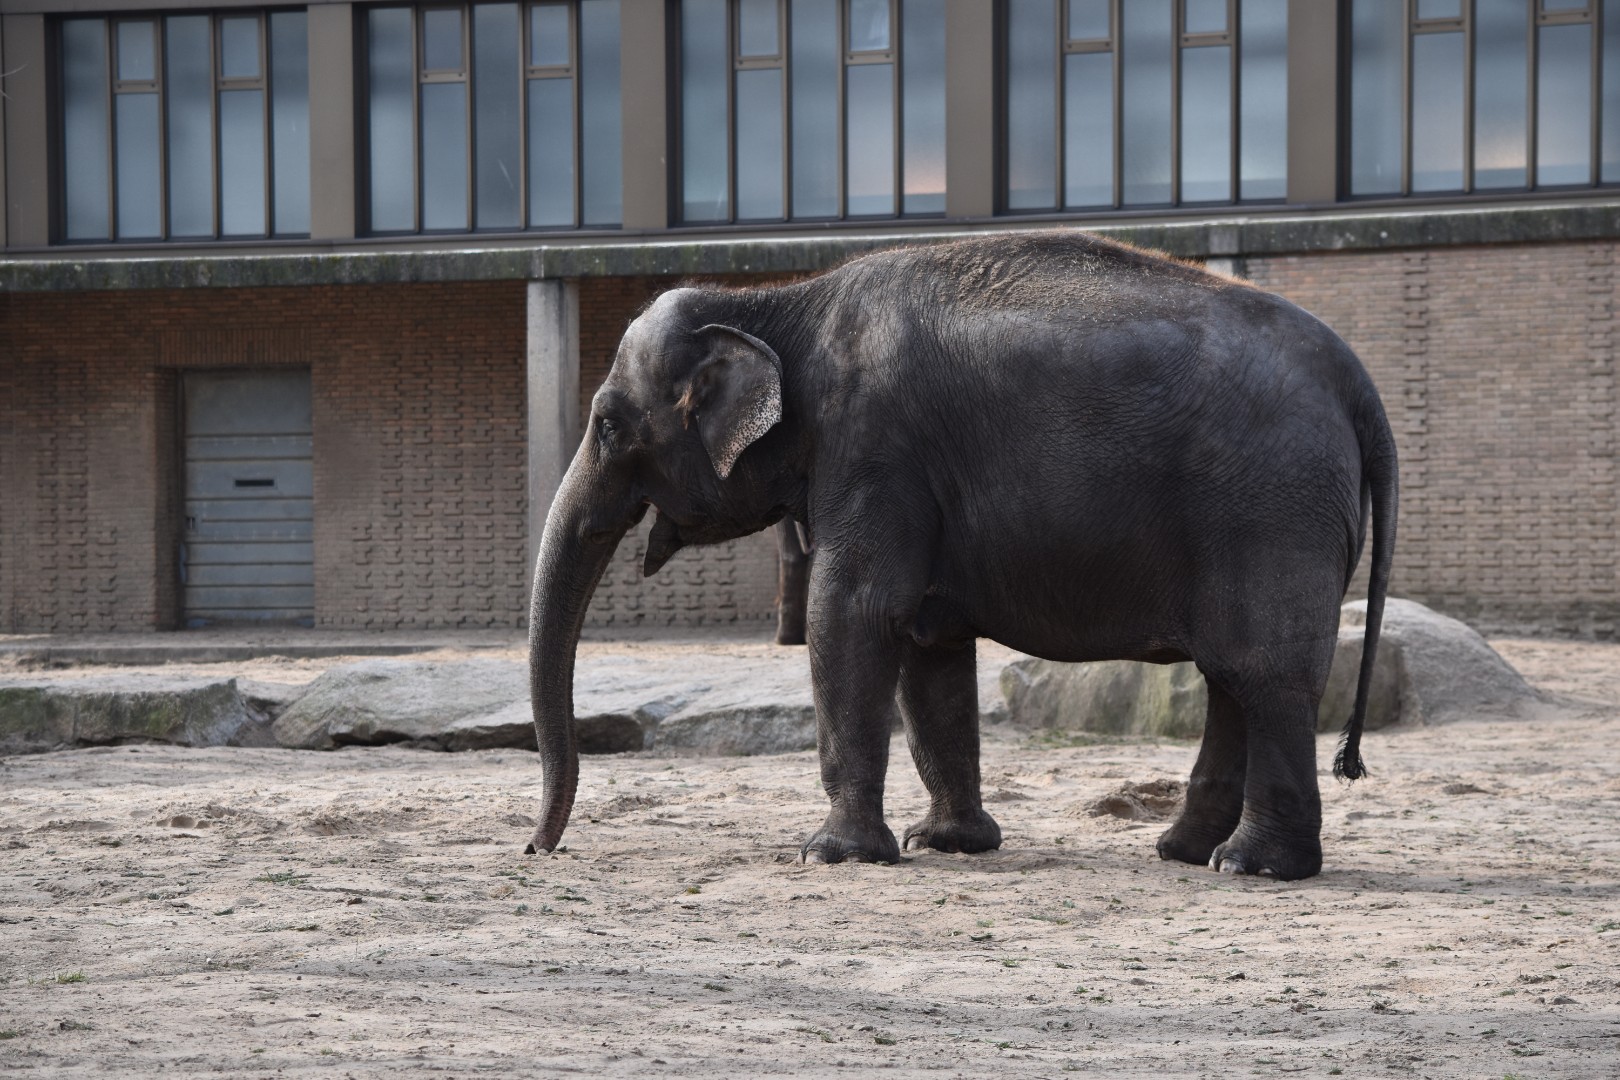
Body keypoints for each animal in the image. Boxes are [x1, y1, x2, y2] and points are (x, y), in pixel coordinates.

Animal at [525, 232, 1397, 881]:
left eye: (607, 424)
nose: (537, 847)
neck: (781, 301)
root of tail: (1359, 382)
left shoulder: (876, 449)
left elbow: (852, 612)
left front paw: (834, 856)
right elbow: (927, 643)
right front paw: (944, 844)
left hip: (1271, 508)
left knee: (1265, 674)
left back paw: (1253, 866)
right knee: (1230, 677)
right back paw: (1182, 852)